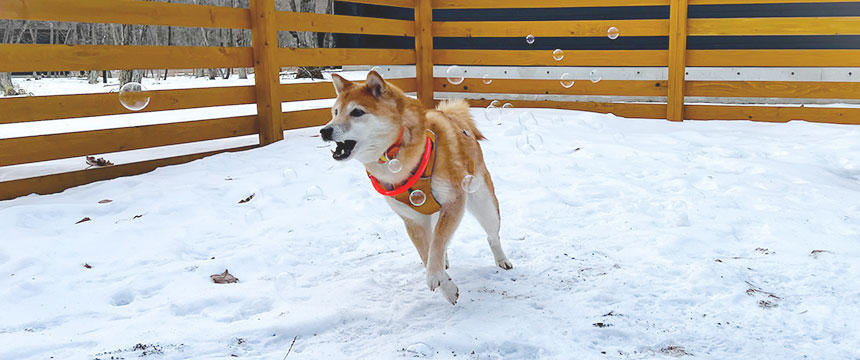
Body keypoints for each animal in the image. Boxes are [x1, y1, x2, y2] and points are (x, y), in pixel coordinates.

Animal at [320, 71, 510, 306]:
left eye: (357, 112)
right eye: (335, 112)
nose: (325, 130)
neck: (395, 156)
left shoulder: (453, 201)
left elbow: (437, 244)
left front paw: (435, 276)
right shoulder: (412, 220)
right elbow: (428, 251)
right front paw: (446, 285)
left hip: (484, 204)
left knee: (490, 236)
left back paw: (502, 260)